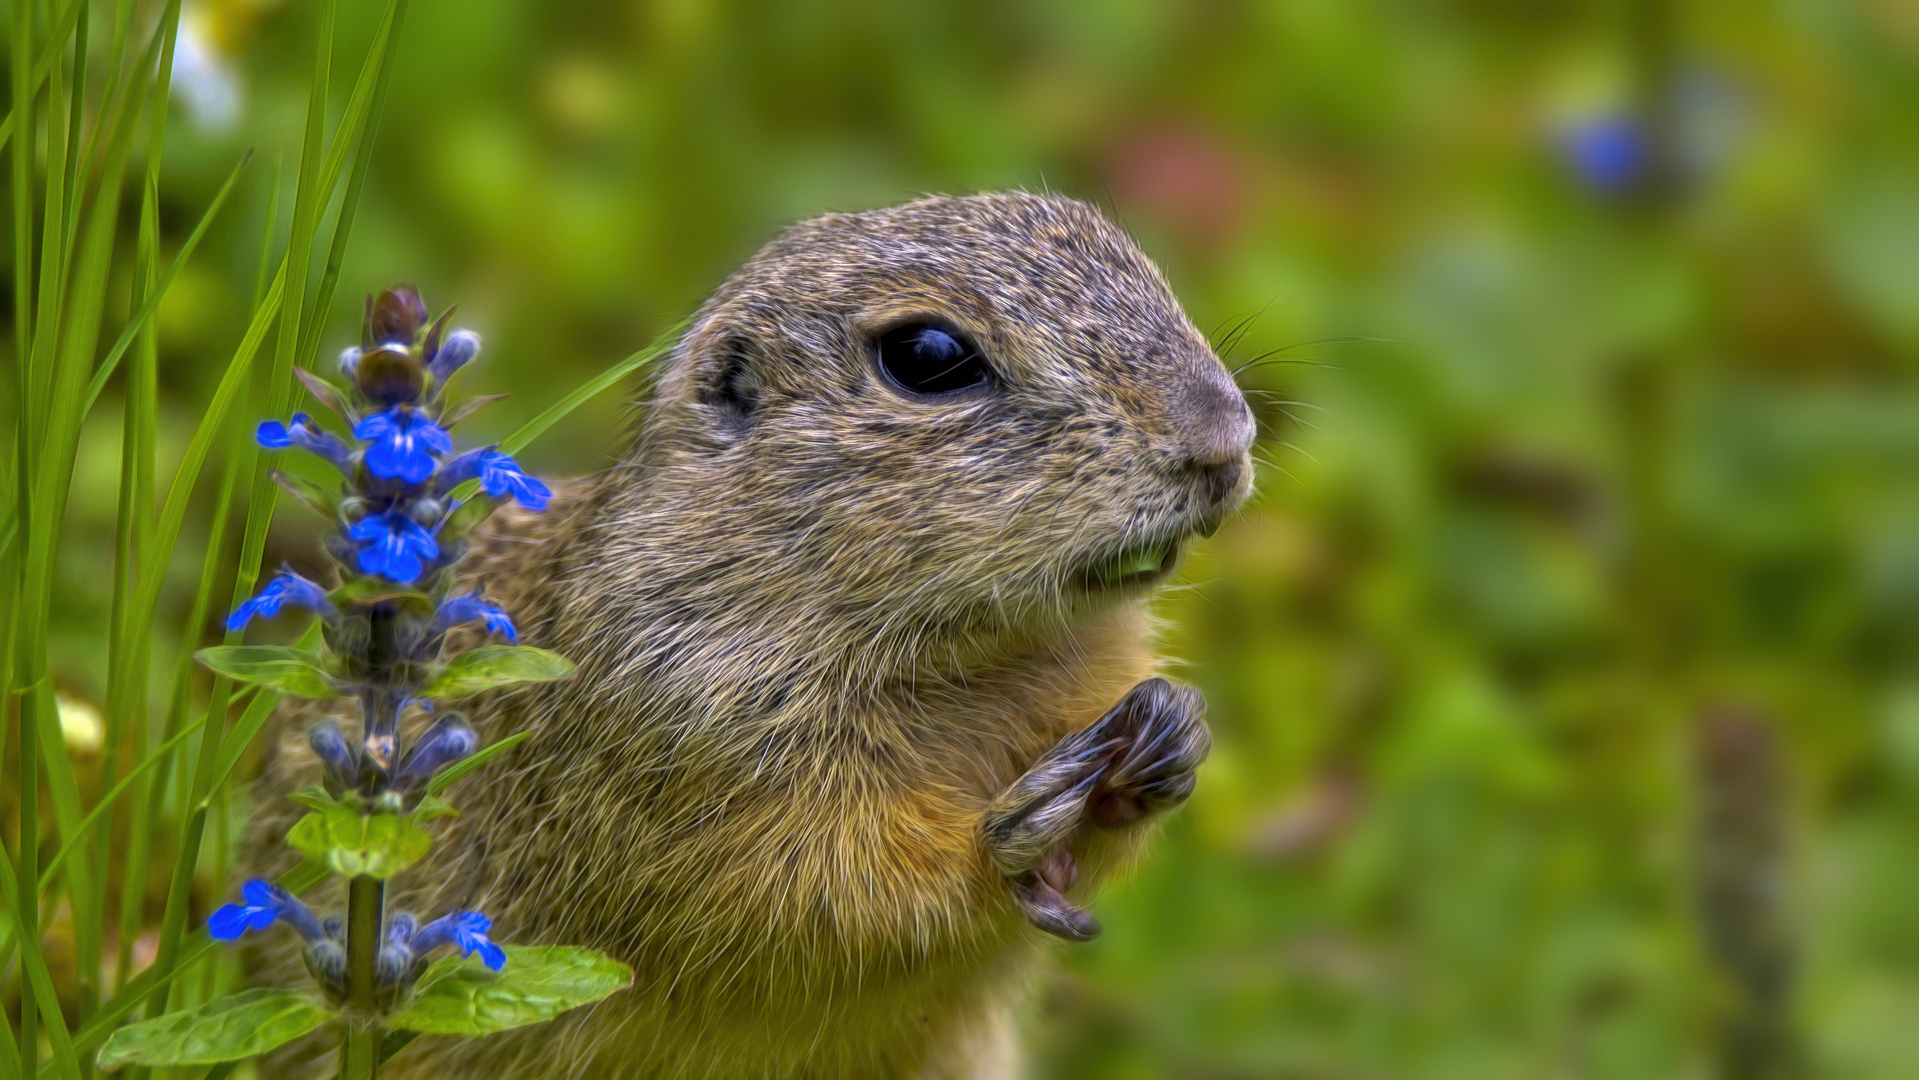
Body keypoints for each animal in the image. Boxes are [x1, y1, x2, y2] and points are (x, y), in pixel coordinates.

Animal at [251, 189, 1258, 1074]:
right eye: (928, 355)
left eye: (1133, 258)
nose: (1224, 437)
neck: (973, 655)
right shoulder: (685, 737)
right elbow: (823, 888)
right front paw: (1014, 824)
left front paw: (1170, 732)